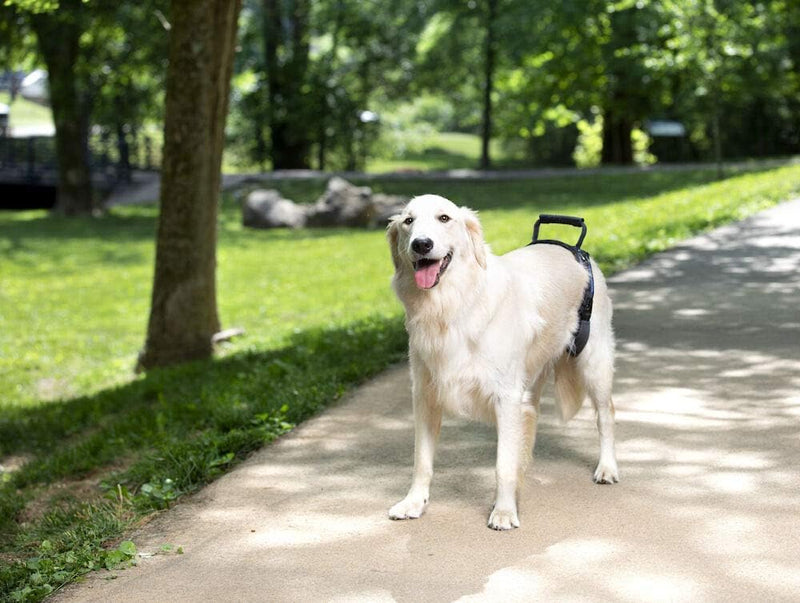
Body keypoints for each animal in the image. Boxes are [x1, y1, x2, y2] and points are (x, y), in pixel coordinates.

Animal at [388, 196, 620, 532]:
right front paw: (413, 503)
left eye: (444, 218)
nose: (421, 244)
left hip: (594, 362)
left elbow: (503, 465)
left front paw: (504, 511)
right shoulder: (425, 395)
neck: (454, 304)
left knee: (605, 415)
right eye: (408, 221)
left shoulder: (506, 397)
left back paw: (607, 467)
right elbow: (422, 461)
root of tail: (572, 250)